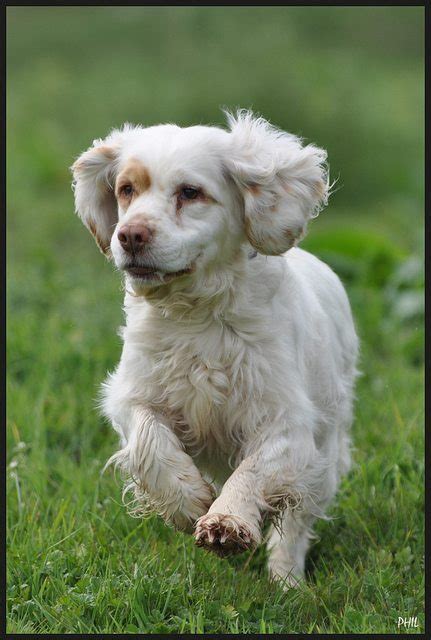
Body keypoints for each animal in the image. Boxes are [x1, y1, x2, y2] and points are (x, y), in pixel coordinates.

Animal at [72, 109, 360, 584]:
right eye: (126, 189)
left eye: (190, 192)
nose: (130, 235)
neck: (197, 313)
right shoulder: (133, 396)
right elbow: (150, 443)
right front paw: (188, 502)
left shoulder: (287, 424)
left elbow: (254, 471)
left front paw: (227, 521)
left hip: (324, 458)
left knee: (294, 526)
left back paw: (286, 582)